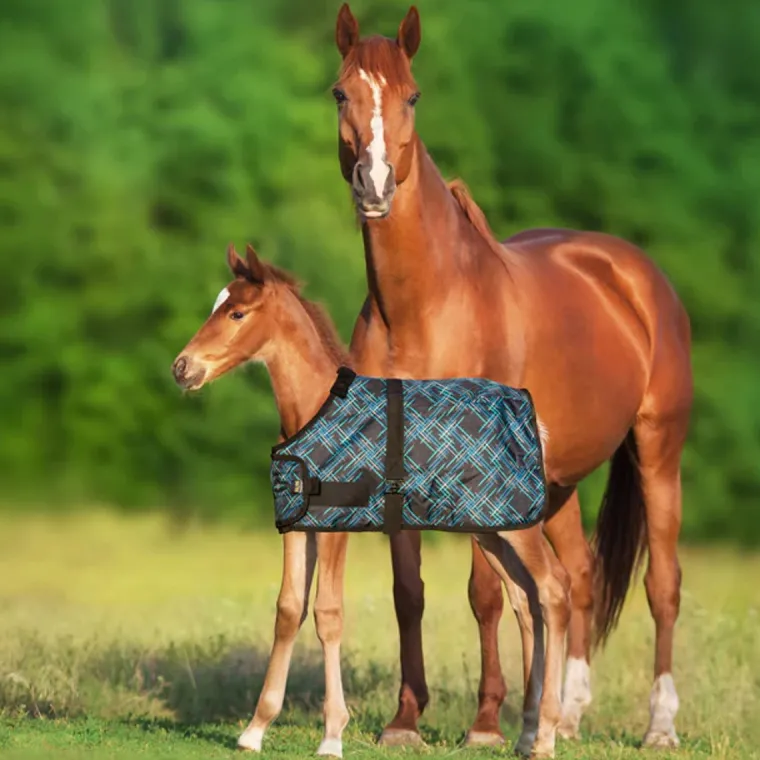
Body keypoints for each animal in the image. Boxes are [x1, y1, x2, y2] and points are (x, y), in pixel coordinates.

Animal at [172, 243, 571, 758]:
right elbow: (288, 611)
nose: (182, 368)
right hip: (490, 530)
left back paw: (546, 735)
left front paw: (332, 735)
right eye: (215, 306)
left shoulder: (336, 527)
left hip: (516, 528)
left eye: (237, 313)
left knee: (554, 590)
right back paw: (525, 734)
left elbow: (327, 614)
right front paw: (254, 730)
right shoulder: (296, 527)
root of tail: (533, 423)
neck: (314, 409)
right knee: (527, 600)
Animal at [332, 2, 692, 753]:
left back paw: (659, 725)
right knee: (578, 579)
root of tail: (633, 273)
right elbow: (411, 592)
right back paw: (570, 713)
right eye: (340, 93)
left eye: (412, 97)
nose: (375, 186)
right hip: (557, 483)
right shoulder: (399, 464)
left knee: (663, 585)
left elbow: (486, 593)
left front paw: (486, 724)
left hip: (658, 450)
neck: (425, 307)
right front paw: (406, 722)